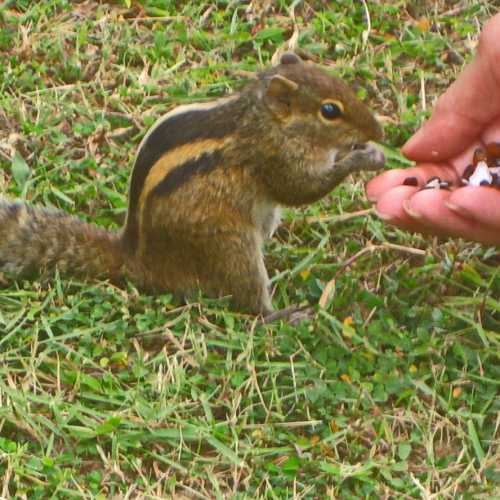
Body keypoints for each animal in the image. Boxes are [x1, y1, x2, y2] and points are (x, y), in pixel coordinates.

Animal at [0, 52, 384, 314]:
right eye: (330, 111)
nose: (378, 131)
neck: (262, 119)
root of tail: (140, 259)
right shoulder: (272, 157)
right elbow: (299, 189)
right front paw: (363, 158)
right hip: (231, 246)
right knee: (249, 303)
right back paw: (284, 315)